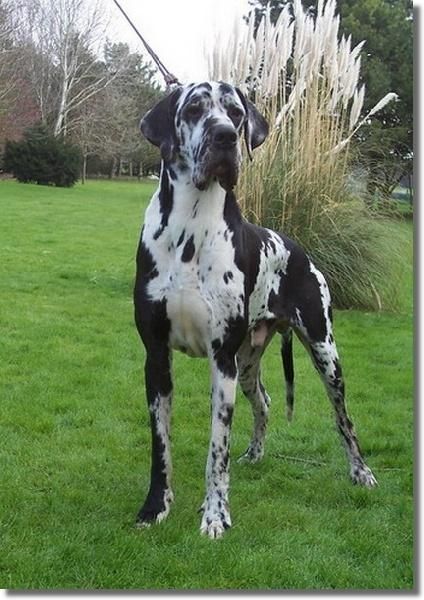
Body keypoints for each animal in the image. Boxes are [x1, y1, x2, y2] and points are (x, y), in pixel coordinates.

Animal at [133, 81, 377, 539]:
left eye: (236, 113)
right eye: (194, 108)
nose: (226, 137)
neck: (191, 228)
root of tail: (299, 248)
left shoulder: (221, 361)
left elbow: (217, 450)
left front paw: (215, 514)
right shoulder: (156, 357)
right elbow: (160, 446)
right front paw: (156, 507)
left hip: (324, 354)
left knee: (344, 419)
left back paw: (361, 472)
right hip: (247, 364)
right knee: (263, 401)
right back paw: (255, 453)